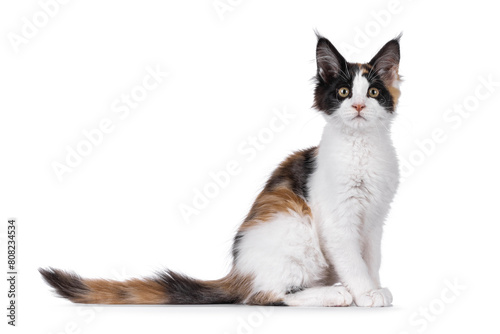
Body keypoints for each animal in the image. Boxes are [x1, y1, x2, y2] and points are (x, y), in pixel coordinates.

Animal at [42, 33, 402, 308]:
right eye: (343, 92)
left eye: (373, 93)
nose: (358, 106)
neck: (362, 148)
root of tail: (237, 273)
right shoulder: (338, 222)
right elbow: (353, 262)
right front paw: (365, 294)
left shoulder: (374, 220)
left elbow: (370, 259)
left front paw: (375, 288)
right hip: (294, 233)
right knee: (266, 296)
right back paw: (333, 295)